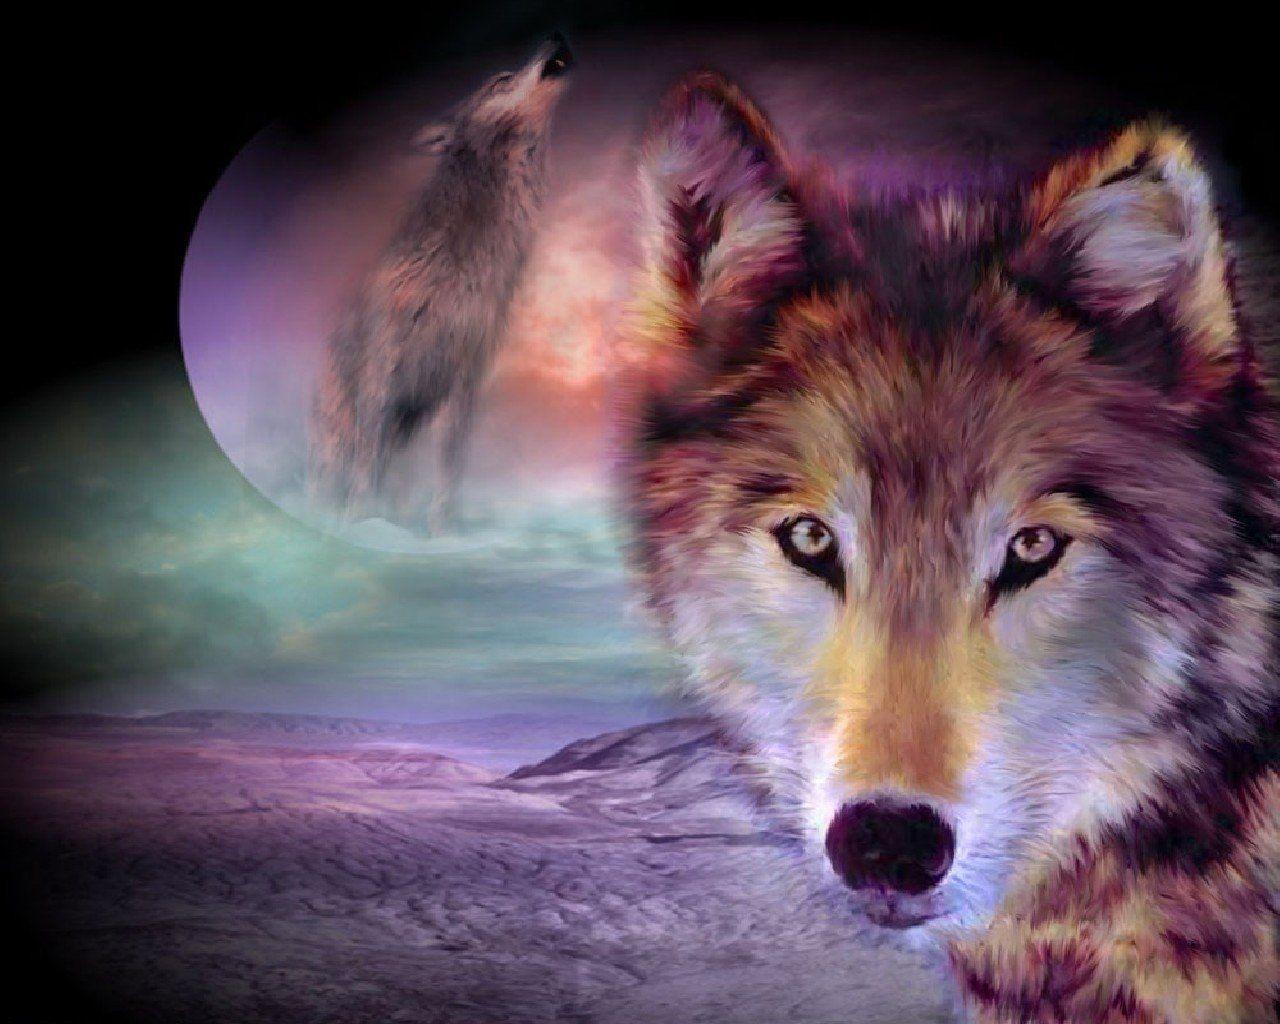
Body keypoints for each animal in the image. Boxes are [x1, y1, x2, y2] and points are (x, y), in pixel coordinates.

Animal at [309, 33, 574, 527]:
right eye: (500, 80)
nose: (556, 36)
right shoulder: (385, 367)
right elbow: (368, 460)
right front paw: (363, 522)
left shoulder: (467, 374)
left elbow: (449, 466)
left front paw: (440, 531)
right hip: (338, 431)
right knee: (337, 469)